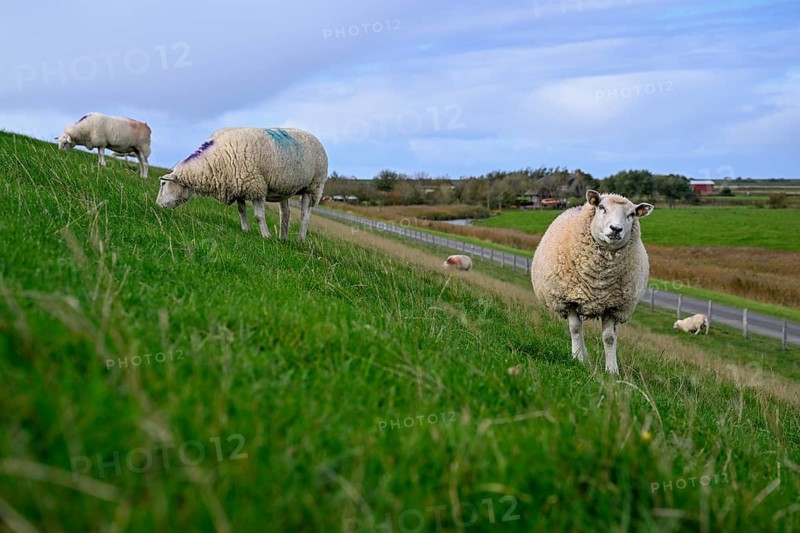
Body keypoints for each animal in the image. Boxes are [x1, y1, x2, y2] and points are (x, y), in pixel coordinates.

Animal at [156, 127, 328, 241]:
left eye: (163, 184)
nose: (157, 205)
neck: (213, 161)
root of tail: (313, 136)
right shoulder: (238, 185)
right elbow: (241, 211)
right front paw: (245, 230)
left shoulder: (256, 185)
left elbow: (259, 216)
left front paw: (266, 236)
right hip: (284, 188)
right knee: (285, 214)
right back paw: (283, 238)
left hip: (313, 186)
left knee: (305, 216)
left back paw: (300, 240)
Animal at [530, 190, 654, 374]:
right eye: (602, 207)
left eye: (632, 214)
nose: (616, 229)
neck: (599, 278)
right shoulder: (569, 299)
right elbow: (575, 329)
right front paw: (577, 359)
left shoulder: (613, 306)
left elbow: (609, 338)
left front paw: (612, 370)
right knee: (578, 328)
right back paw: (582, 356)